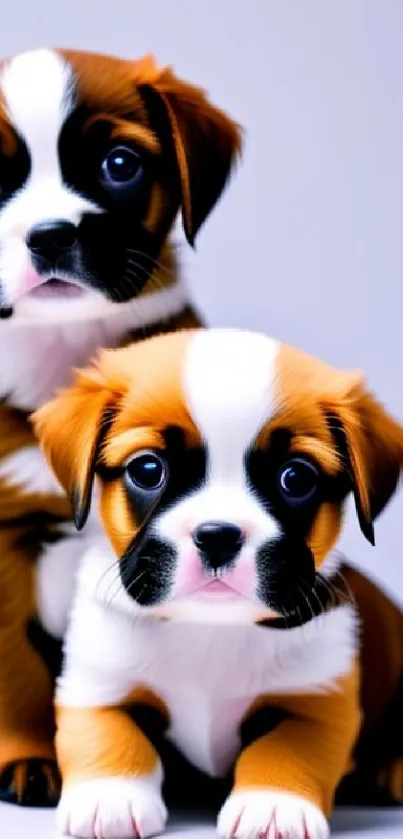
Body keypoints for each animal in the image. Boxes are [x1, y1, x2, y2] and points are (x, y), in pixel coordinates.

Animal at [32, 328, 403, 839]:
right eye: (147, 469)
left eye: (295, 477)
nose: (218, 535)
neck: (209, 629)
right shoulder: (97, 681)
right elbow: (108, 733)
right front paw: (109, 797)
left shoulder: (316, 697)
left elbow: (286, 750)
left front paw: (273, 803)